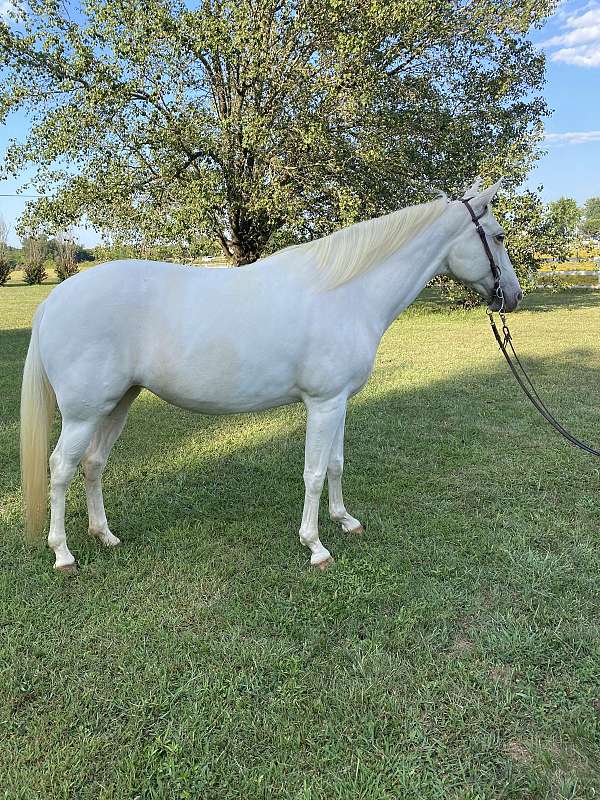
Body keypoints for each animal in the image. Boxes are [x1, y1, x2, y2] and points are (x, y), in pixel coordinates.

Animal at [21, 178, 520, 572]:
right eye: (497, 237)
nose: (512, 297)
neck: (347, 293)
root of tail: (54, 300)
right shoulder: (323, 404)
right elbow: (314, 472)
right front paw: (315, 546)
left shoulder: (339, 402)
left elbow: (336, 464)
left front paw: (345, 521)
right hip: (84, 414)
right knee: (61, 468)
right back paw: (63, 554)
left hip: (117, 404)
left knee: (93, 464)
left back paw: (105, 535)